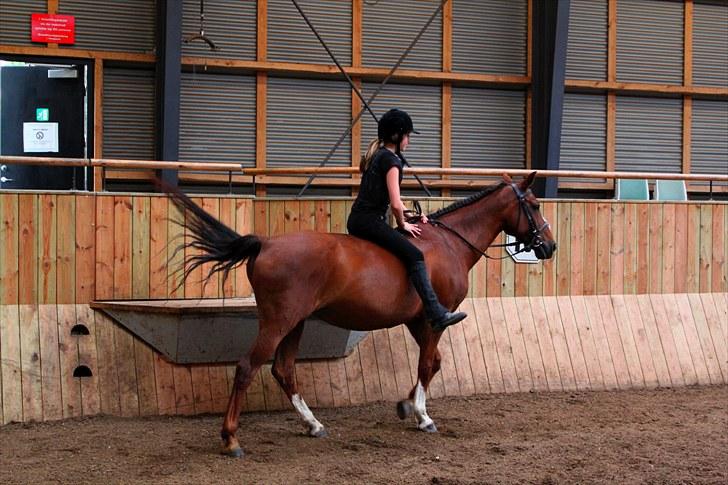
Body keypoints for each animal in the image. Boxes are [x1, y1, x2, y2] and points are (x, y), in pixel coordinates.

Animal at [166, 172, 556, 456]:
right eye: (535, 205)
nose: (549, 246)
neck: (448, 243)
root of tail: (266, 243)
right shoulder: (435, 319)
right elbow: (427, 364)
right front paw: (422, 416)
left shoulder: (418, 320)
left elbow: (434, 363)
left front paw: (406, 406)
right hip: (279, 322)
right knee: (248, 367)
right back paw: (231, 439)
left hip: (295, 322)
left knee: (283, 369)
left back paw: (313, 425)